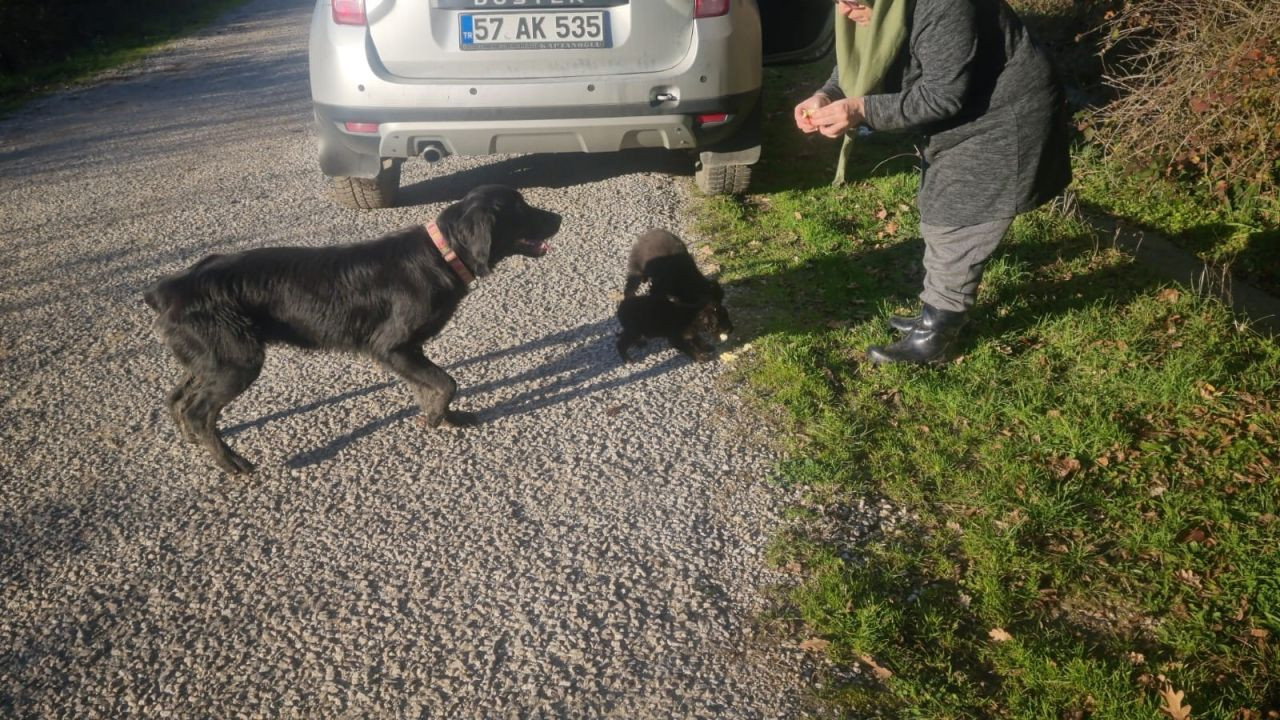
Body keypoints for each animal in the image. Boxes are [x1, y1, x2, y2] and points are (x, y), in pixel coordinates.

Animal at [145, 183, 560, 471]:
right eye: (521, 209)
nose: (558, 218)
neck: (439, 256)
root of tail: (169, 288)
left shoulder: (408, 351)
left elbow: (430, 386)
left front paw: (446, 418)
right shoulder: (391, 346)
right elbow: (447, 382)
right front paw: (437, 418)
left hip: (211, 359)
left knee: (178, 398)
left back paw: (194, 440)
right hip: (237, 361)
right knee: (198, 410)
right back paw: (231, 463)